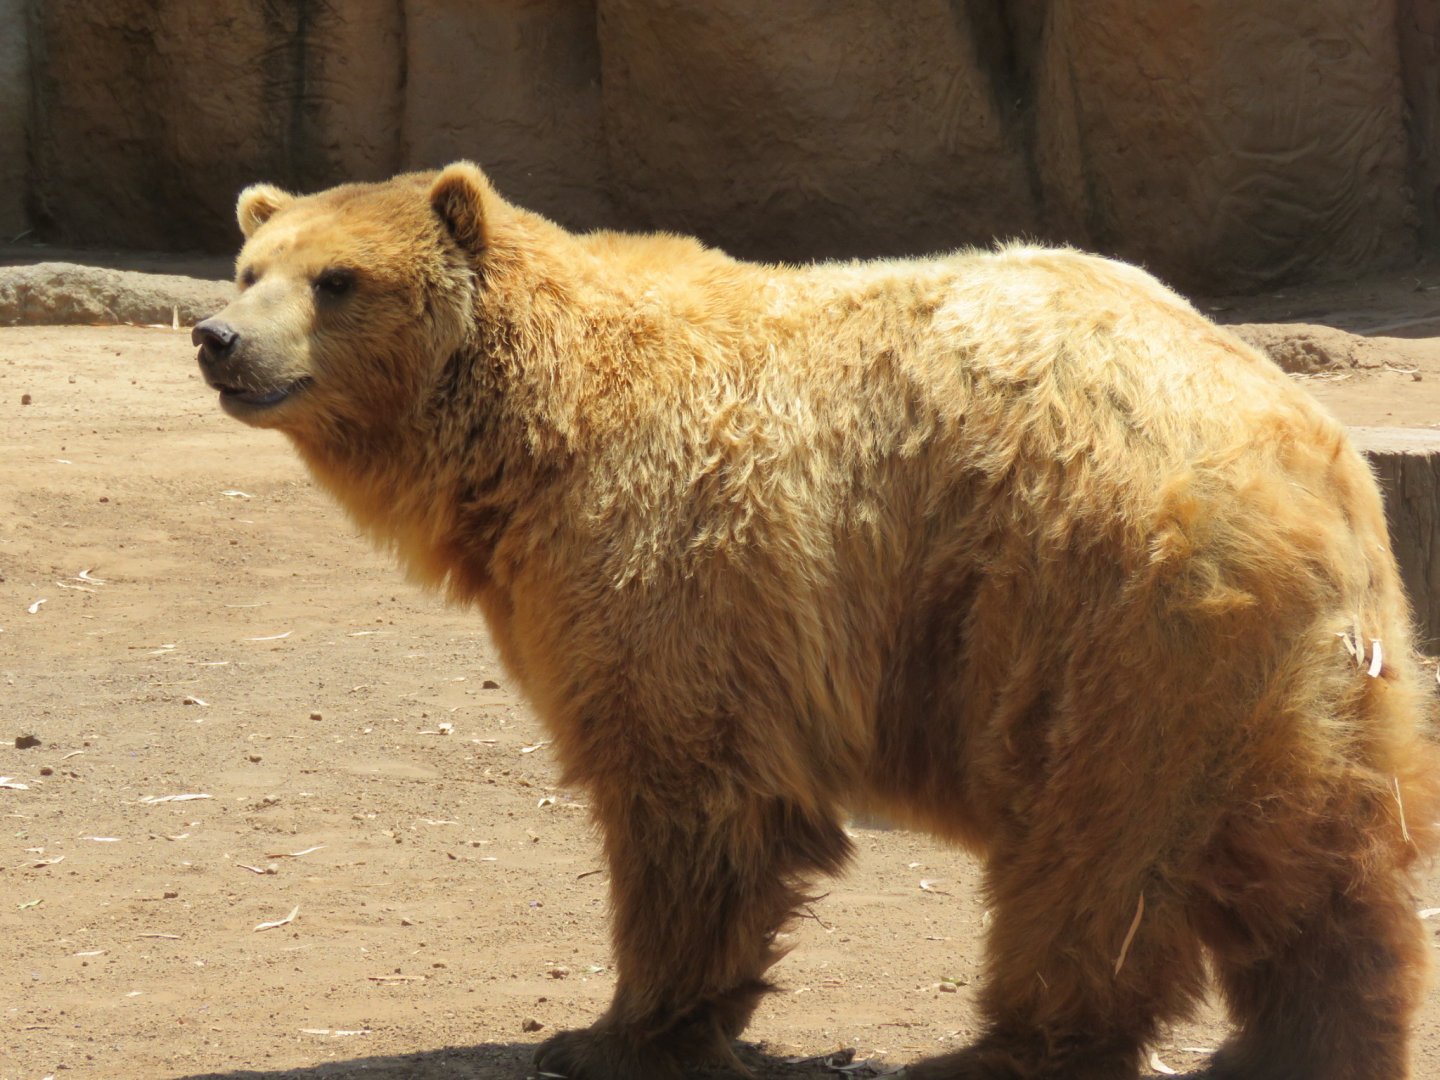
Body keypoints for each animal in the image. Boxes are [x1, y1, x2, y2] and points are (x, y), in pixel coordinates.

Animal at [193, 162, 1440, 1080]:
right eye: (251, 264)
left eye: (338, 279)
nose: (216, 337)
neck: (529, 432)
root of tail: (1312, 453)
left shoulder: (669, 552)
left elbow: (682, 789)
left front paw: (614, 1031)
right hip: (1287, 675)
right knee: (1318, 864)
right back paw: (1301, 1044)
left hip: (1114, 615)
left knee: (1096, 851)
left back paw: (1002, 1049)